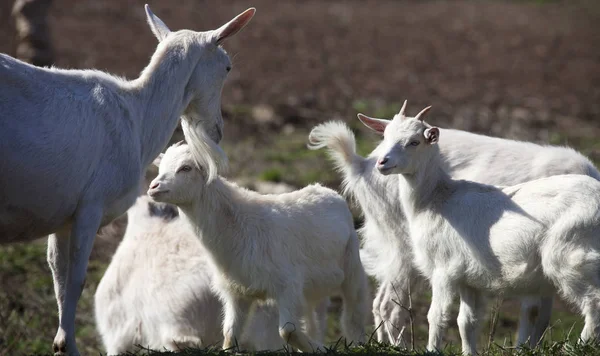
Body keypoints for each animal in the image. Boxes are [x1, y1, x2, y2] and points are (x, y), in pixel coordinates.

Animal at [0, 4, 255, 354]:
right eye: (227, 66)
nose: (218, 130)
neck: (139, 118)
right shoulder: (91, 204)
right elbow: (76, 280)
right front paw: (67, 345)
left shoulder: (62, 217)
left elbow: (58, 277)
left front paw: (60, 343)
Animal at [148, 143, 368, 354]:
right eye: (160, 167)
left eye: (186, 168)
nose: (153, 187)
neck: (238, 224)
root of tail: (326, 189)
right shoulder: (237, 292)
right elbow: (229, 334)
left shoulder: (287, 285)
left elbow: (287, 331)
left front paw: (321, 349)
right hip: (313, 286)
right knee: (315, 317)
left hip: (351, 263)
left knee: (354, 311)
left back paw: (357, 343)